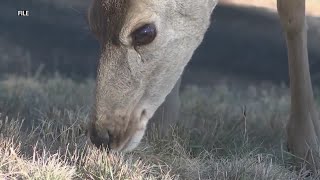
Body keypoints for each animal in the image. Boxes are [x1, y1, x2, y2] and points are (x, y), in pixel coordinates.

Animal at [86, 0, 318, 171]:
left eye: (144, 32)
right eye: (92, 25)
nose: (102, 136)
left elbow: (292, 16)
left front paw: (306, 149)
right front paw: (162, 129)